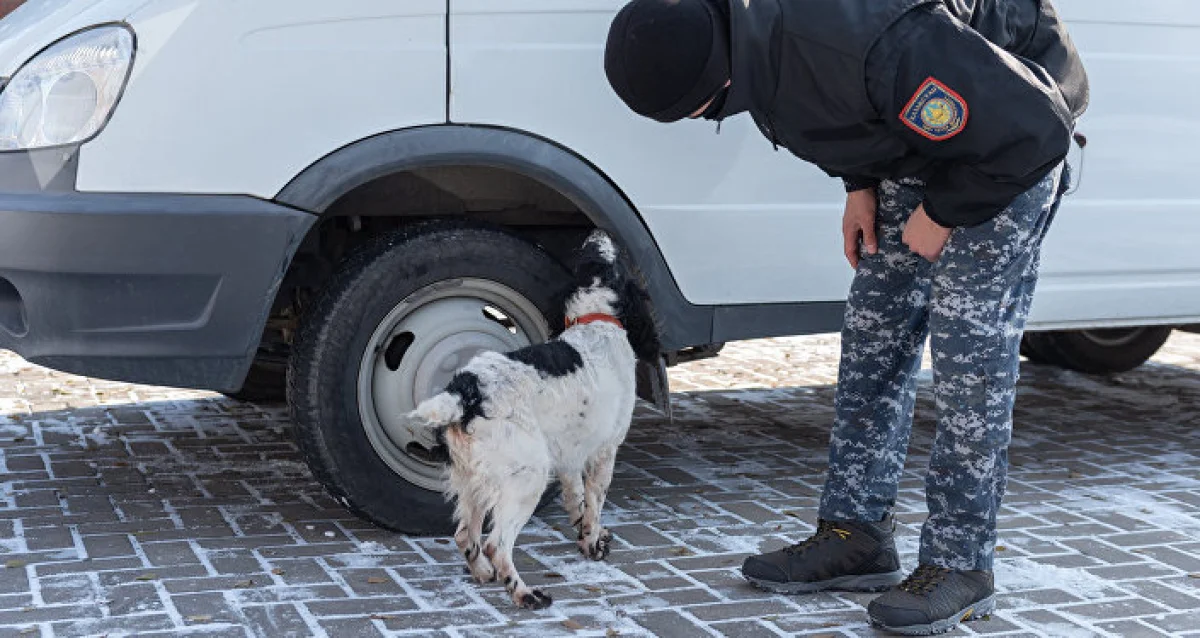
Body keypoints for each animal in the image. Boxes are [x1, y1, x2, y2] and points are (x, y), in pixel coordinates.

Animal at [408, 229, 662, 609]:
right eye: (613, 256)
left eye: (593, 255)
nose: (599, 231)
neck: (595, 321)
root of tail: (466, 391)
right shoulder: (604, 450)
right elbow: (595, 503)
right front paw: (593, 544)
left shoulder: (570, 455)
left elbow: (576, 499)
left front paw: (585, 534)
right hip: (528, 475)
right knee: (495, 544)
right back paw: (524, 593)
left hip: (474, 476)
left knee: (465, 535)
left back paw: (483, 574)